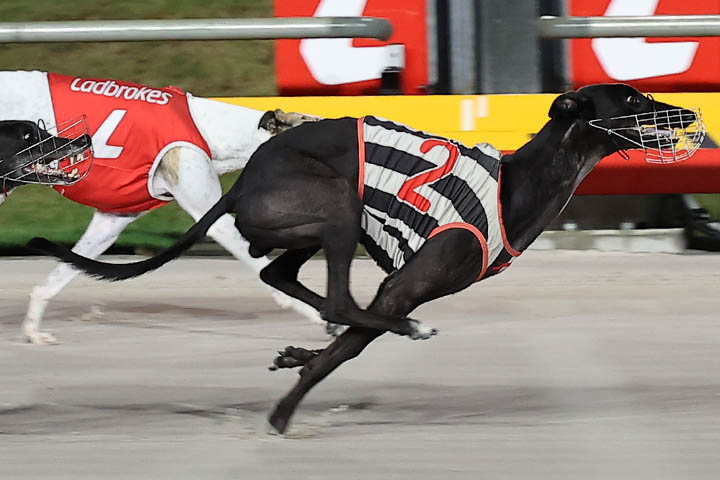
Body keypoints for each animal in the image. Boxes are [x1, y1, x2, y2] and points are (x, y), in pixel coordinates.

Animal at [0, 70, 320, 344]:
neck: (210, 130)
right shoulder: (214, 219)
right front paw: (321, 316)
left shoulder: (110, 222)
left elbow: (64, 271)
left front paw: (33, 329)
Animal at [28, 84, 705, 432]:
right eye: (630, 99)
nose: (688, 111)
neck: (520, 185)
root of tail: (244, 180)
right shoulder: (402, 286)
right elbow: (350, 341)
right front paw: (284, 412)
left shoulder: (395, 282)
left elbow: (339, 339)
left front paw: (296, 360)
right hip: (335, 202)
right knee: (334, 299)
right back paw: (400, 330)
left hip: (313, 224)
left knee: (283, 274)